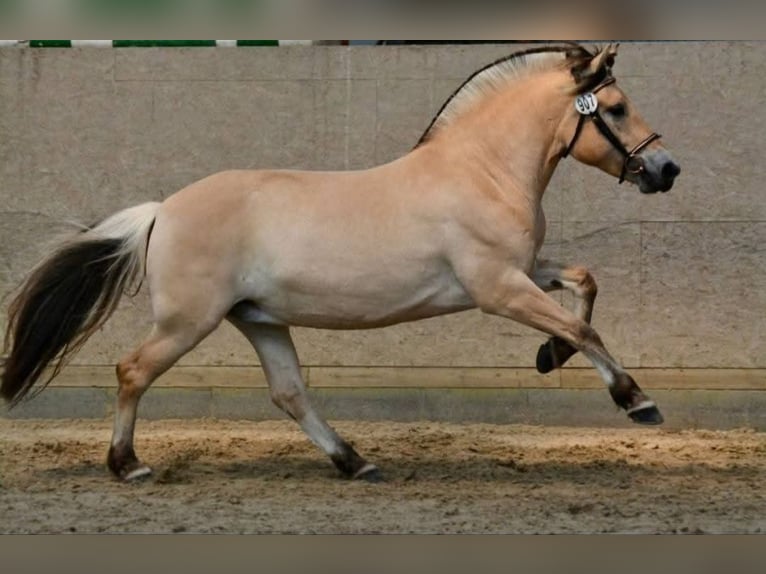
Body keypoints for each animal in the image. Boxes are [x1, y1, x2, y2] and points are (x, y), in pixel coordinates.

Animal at [1, 43, 680, 482]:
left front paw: (547, 357)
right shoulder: (497, 287)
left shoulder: (521, 270)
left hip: (260, 319)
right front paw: (637, 401)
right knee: (132, 371)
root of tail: (162, 210)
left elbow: (585, 284)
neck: (480, 170)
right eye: (616, 108)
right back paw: (129, 466)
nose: (666, 169)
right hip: (188, 322)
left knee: (290, 393)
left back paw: (355, 462)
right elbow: (585, 328)